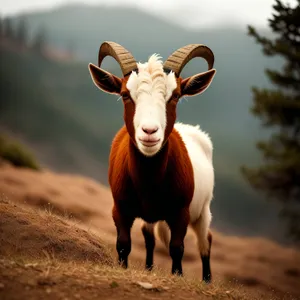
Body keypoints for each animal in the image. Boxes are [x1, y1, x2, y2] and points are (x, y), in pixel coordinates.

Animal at [88, 41, 217, 282]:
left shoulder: (181, 213)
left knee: (205, 241)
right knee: (149, 239)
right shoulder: (120, 209)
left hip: (203, 209)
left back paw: (206, 280)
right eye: (125, 94)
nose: (149, 132)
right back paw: (149, 268)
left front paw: (178, 276)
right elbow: (124, 244)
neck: (148, 181)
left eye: (175, 95)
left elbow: (177, 248)